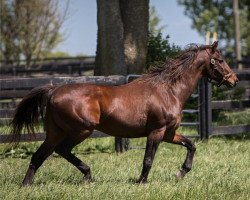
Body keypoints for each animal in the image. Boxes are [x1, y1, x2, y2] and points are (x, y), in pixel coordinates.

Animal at [10, 41, 238, 186]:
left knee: (39, 156)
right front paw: (142, 182)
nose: (233, 80)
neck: (169, 90)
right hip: (81, 130)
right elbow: (148, 159)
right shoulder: (157, 132)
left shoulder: (169, 133)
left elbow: (191, 145)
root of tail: (54, 91)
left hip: (55, 132)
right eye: (220, 60)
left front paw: (181, 173)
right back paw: (88, 175)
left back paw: (26, 185)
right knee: (62, 150)